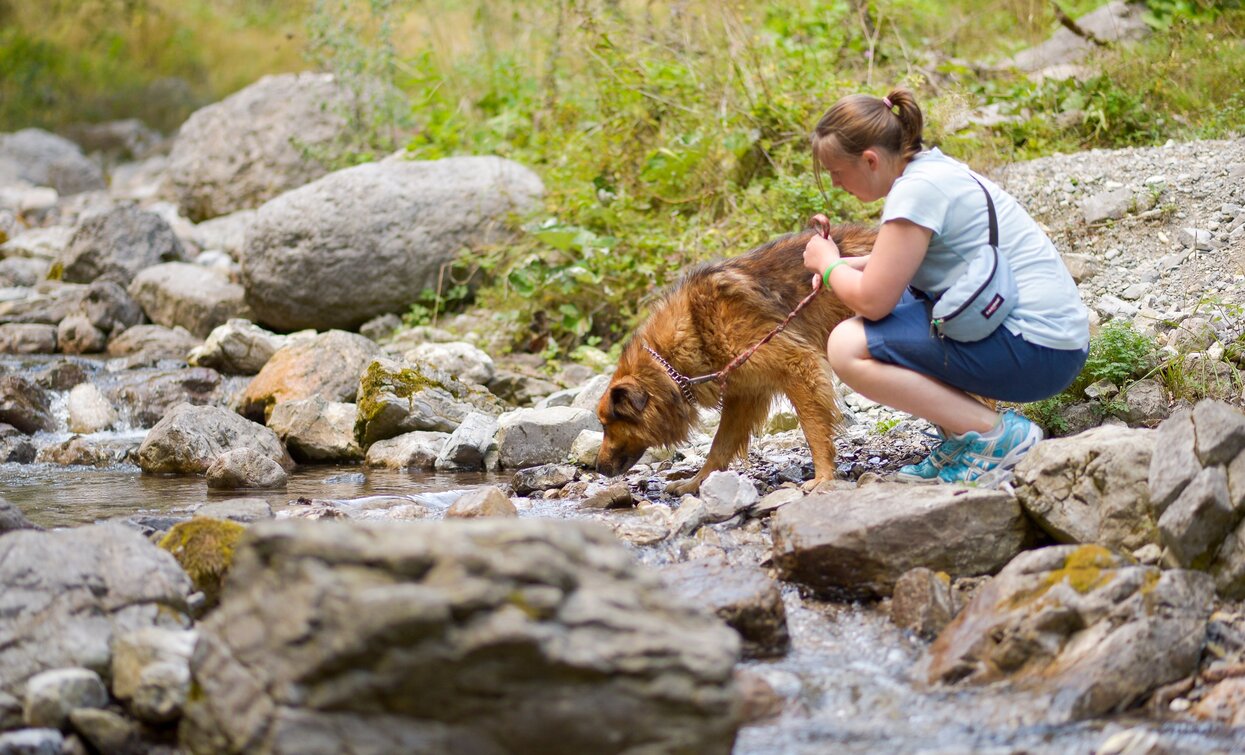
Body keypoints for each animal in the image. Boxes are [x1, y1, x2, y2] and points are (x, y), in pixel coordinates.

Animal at [600, 224, 876, 498]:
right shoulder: (744, 394)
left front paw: (823, 477)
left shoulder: (798, 365)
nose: (596, 467)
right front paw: (696, 482)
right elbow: (720, 445)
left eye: (605, 425)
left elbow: (814, 428)